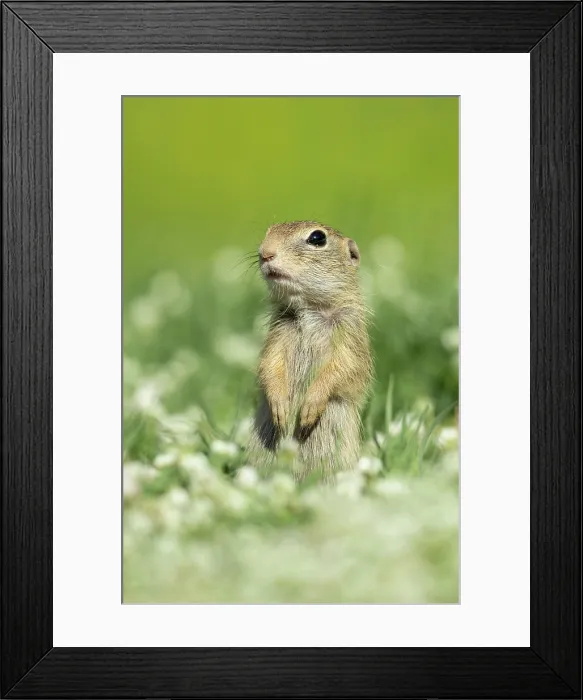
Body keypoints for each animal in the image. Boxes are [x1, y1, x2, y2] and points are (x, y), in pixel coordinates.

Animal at [247, 221, 373, 479]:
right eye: (269, 230)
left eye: (317, 238)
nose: (265, 253)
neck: (311, 309)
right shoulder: (279, 331)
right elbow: (270, 363)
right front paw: (280, 408)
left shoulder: (350, 333)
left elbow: (343, 368)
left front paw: (309, 408)